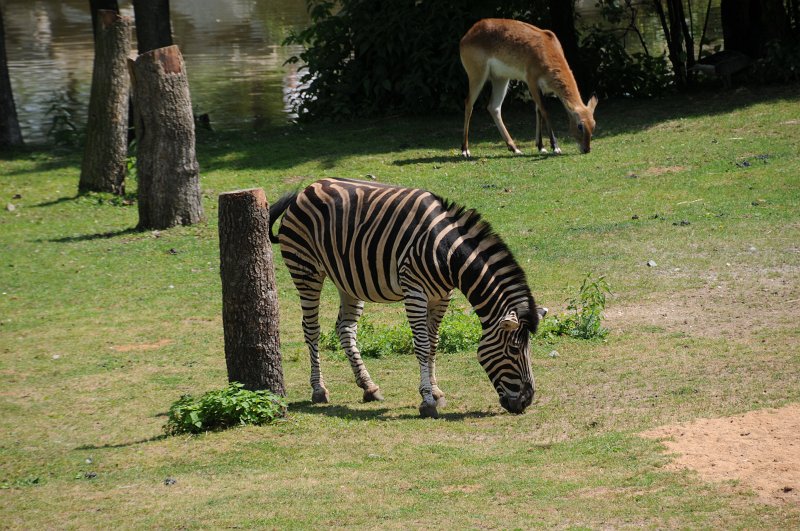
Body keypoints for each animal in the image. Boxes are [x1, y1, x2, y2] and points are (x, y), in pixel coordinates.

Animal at [269, 177, 542, 418]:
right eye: (514, 349)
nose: (526, 401)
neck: (448, 253)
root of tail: (307, 188)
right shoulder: (414, 292)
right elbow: (421, 345)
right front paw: (427, 401)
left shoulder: (442, 296)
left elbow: (433, 344)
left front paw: (436, 392)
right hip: (306, 270)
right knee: (311, 329)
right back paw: (319, 389)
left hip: (348, 279)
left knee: (345, 329)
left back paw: (369, 386)